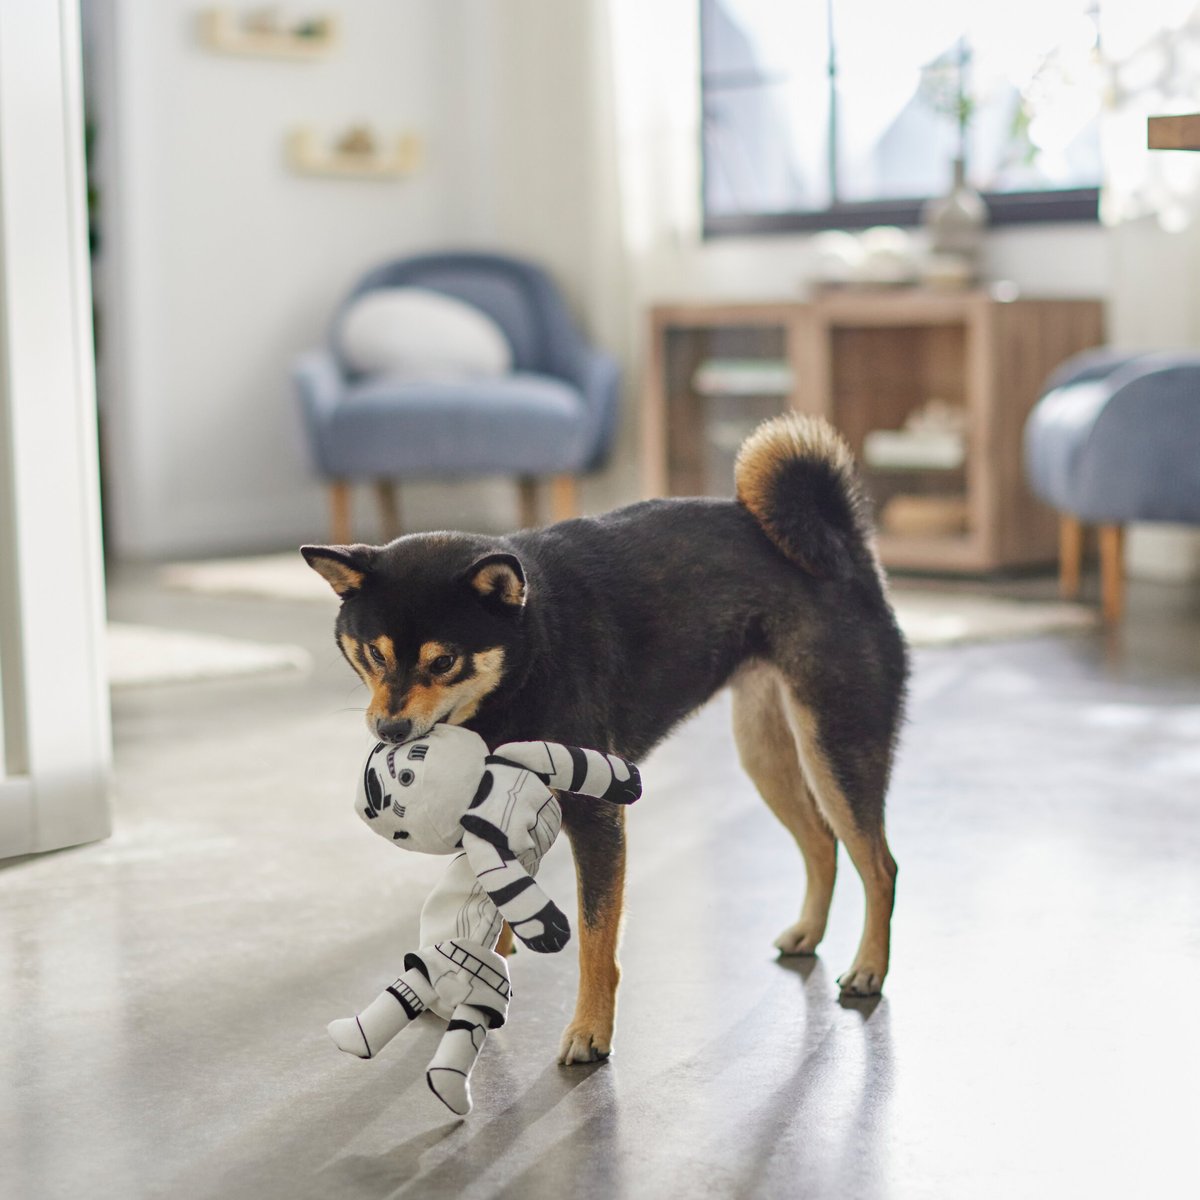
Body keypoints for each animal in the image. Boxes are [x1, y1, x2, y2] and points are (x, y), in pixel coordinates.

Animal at [304, 410, 902, 1060]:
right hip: (767, 753)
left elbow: (596, 938)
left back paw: (869, 966)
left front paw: (590, 1029)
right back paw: (809, 933)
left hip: (833, 745)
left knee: (880, 865)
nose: (389, 729)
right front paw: (484, 961)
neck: (533, 647)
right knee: (822, 843)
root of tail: (844, 544)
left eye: (444, 662)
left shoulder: (595, 817)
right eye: (373, 653)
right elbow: (493, 892)